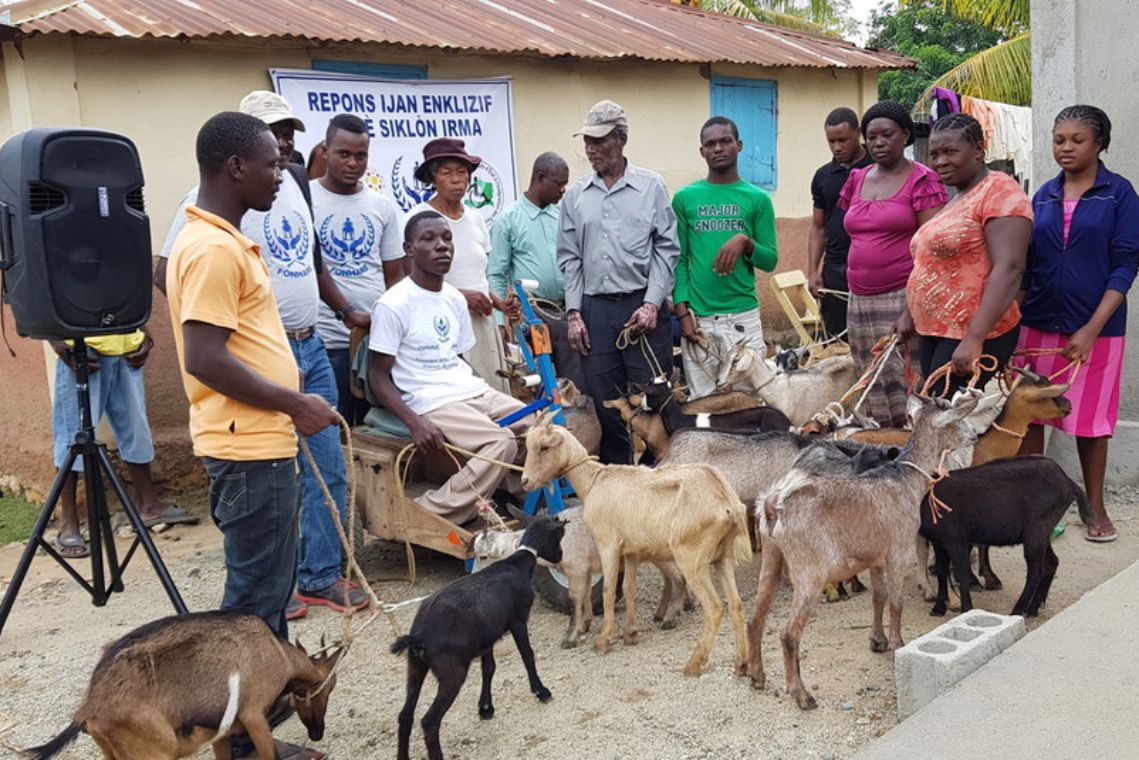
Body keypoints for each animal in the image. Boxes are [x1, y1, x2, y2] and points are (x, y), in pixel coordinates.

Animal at [394, 510, 567, 760]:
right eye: (559, 537)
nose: (561, 556)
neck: (518, 564)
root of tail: (419, 636)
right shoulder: (518, 621)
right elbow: (527, 655)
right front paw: (541, 691)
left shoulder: (487, 637)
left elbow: (489, 668)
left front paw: (485, 707)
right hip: (452, 672)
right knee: (429, 721)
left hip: (415, 666)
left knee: (405, 716)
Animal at [519, 421, 751, 679]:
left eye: (545, 447)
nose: (525, 481)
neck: (594, 481)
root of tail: (727, 502)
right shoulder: (630, 551)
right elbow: (628, 589)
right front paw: (630, 633)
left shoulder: (608, 545)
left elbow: (609, 591)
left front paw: (603, 639)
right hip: (722, 558)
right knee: (736, 605)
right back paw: (742, 664)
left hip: (692, 559)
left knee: (714, 608)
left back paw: (694, 663)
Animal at [747, 389, 979, 711]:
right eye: (956, 419)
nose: (975, 435)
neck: (907, 481)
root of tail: (772, 506)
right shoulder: (897, 550)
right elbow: (896, 601)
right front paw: (896, 644)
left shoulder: (875, 557)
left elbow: (878, 598)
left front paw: (876, 641)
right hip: (809, 570)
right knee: (788, 633)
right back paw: (802, 695)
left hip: (772, 556)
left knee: (755, 617)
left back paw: (756, 675)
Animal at [915, 458, 1093, 619]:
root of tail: (1069, 483)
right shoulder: (939, 543)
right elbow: (941, 570)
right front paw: (938, 608)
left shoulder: (957, 541)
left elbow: (961, 574)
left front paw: (966, 610)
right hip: (1043, 534)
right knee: (1051, 563)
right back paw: (1032, 609)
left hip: (1035, 534)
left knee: (1035, 573)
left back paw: (1017, 611)